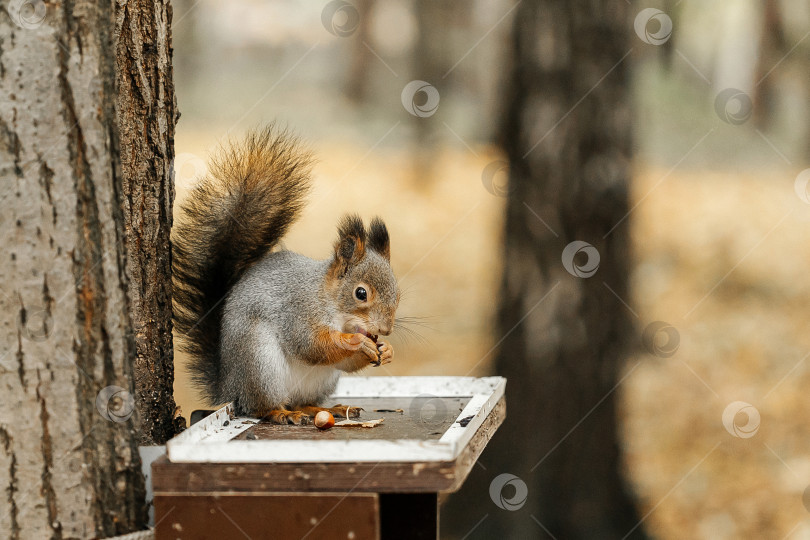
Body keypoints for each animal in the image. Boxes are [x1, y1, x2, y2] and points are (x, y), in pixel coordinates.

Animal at [173, 124, 398, 424]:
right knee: (260, 407)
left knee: (302, 401)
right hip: (260, 364)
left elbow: (342, 361)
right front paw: (355, 342)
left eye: (397, 292)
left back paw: (325, 409)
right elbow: (311, 345)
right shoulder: (298, 312)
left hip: (319, 380)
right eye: (360, 293)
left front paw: (387, 351)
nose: (385, 329)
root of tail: (229, 386)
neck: (331, 304)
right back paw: (281, 413)